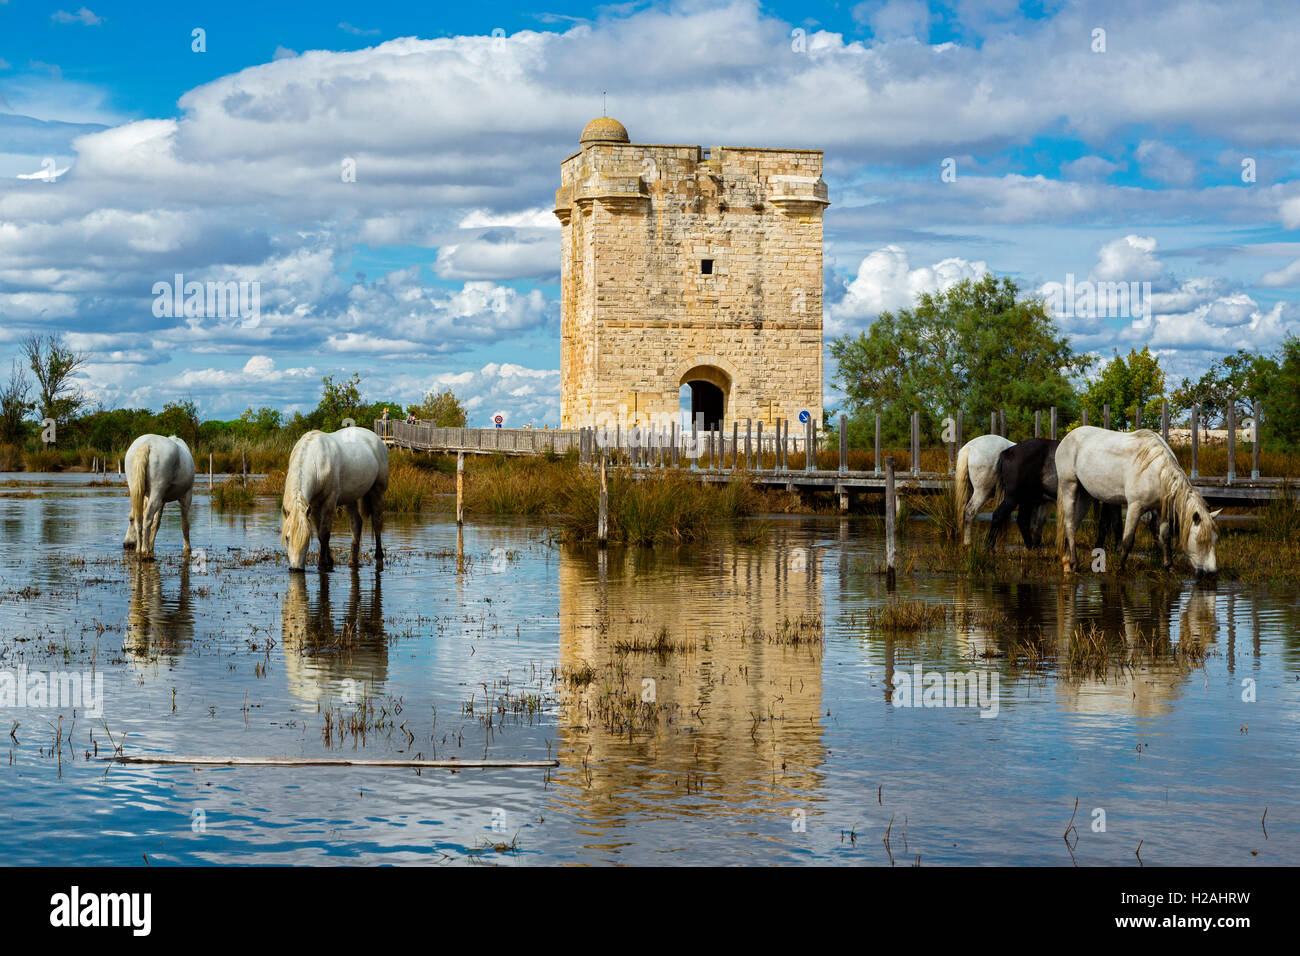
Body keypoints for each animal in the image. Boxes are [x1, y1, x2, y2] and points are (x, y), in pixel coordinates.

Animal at [283, 429, 387, 572]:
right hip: (351, 498)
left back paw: (378, 556)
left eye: (307, 539)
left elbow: (324, 533)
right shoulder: (314, 506)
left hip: (378, 491)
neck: (318, 462)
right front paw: (330, 560)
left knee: (377, 522)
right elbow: (319, 533)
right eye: (287, 538)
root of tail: (375, 438)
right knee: (356, 524)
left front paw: (323, 563)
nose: (296, 569)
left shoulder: (329, 501)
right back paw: (352, 561)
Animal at [1055, 431, 1216, 580]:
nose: (1211, 573)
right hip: (1069, 486)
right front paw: (1120, 569)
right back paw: (1074, 564)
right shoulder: (1135, 507)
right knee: (1069, 524)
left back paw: (1067, 564)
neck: (1155, 470)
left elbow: (1165, 538)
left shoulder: (1160, 510)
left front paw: (1170, 568)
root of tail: (1067, 438)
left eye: (1215, 540)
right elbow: (1127, 541)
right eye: (1201, 541)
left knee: (1074, 525)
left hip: (1085, 495)